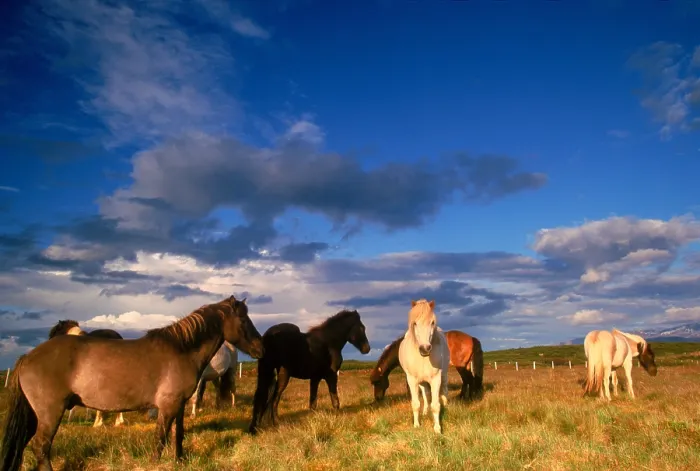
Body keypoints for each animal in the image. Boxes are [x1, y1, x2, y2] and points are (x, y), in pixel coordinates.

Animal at [0, 295, 264, 471]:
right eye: (243, 319)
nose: (260, 348)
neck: (181, 350)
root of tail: (27, 357)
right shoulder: (167, 406)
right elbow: (160, 439)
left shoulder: (178, 405)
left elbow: (177, 436)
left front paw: (179, 460)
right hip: (50, 413)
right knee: (41, 446)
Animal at [398, 299, 449, 434]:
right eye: (415, 323)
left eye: (432, 323)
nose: (425, 348)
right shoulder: (412, 380)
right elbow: (416, 404)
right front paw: (416, 425)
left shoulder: (436, 379)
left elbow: (435, 405)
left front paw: (437, 429)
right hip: (421, 382)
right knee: (426, 395)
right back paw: (425, 411)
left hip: (444, 375)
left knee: (444, 390)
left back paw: (446, 405)